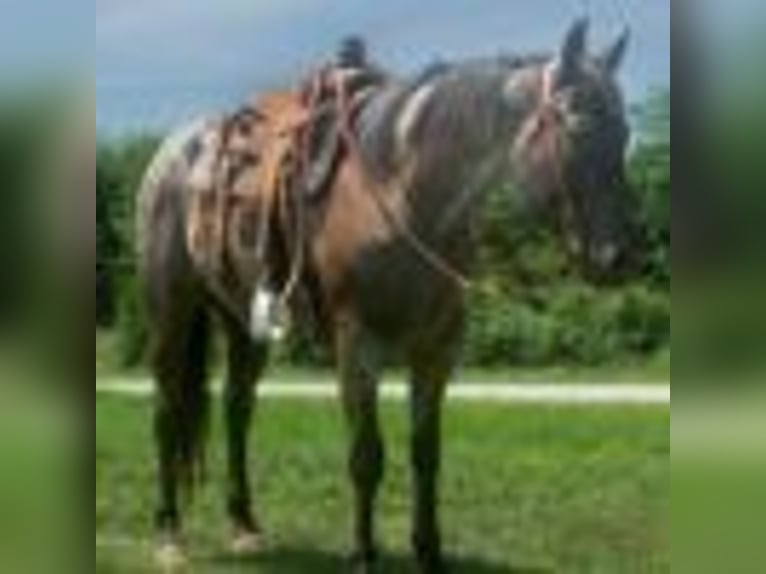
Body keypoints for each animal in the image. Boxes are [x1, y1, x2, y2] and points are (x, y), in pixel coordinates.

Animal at [135, 19, 641, 573]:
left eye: (625, 133)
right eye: (579, 127)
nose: (617, 257)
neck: (402, 192)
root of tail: (170, 154)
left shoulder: (437, 349)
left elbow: (426, 452)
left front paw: (429, 552)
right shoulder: (357, 345)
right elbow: (366, 455)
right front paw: (363, 553)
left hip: (243, 321)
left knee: (237, 410)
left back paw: (244, 525)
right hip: (169, 310)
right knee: (165, 411)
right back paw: (168, 534)